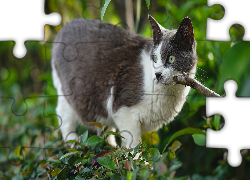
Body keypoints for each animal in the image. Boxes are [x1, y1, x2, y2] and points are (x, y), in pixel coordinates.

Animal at [51, 14, 197, 148]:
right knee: (64, 115)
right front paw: (136, 159)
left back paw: (109, 147)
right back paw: (73, 143)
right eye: (155, 58)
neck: (169, 92)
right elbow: (133, 144)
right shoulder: (124, 110)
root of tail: (65, 26)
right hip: (67, 90)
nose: (157, 74)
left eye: (171, 58)